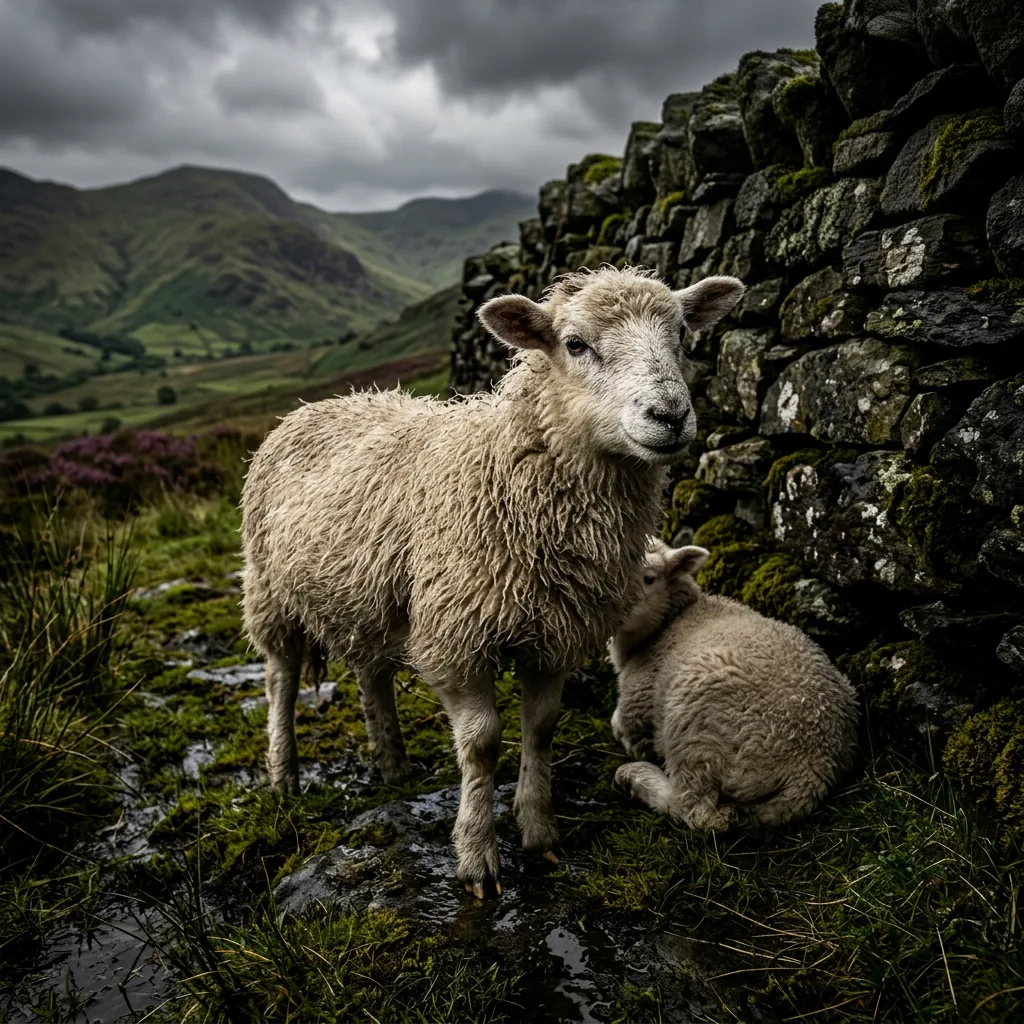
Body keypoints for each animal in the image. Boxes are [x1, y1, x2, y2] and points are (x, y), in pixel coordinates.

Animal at [240, 266, 746, 897]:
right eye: (574, 344)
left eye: (680, 333)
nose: (671, 416)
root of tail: (314, 405)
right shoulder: (455, 637)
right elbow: (480, 744)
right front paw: (477, 856)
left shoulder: (555, 636)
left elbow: (542, 728)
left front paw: (540, 833)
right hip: (270, 592)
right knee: (280, 679)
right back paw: (283, 775)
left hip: (368, 595)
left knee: (371, 674)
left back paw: (393, 764)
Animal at [609, 539, 858, 830]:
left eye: (649, 578)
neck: (667, 624)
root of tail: (813, 766)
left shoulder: (638, 704)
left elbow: (623, 728)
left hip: (696, 726)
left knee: (698, 811)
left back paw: (635, 776)